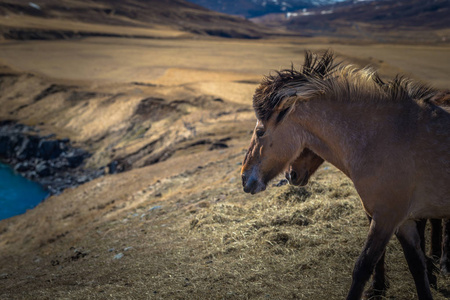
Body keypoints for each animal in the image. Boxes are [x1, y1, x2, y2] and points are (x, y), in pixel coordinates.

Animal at [243, 51, 450, 300]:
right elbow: (416, 267)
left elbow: (362, 267)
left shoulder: (386, 217)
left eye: (260, 131)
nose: (245, 179)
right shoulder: (403, 221)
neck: (383, 137)